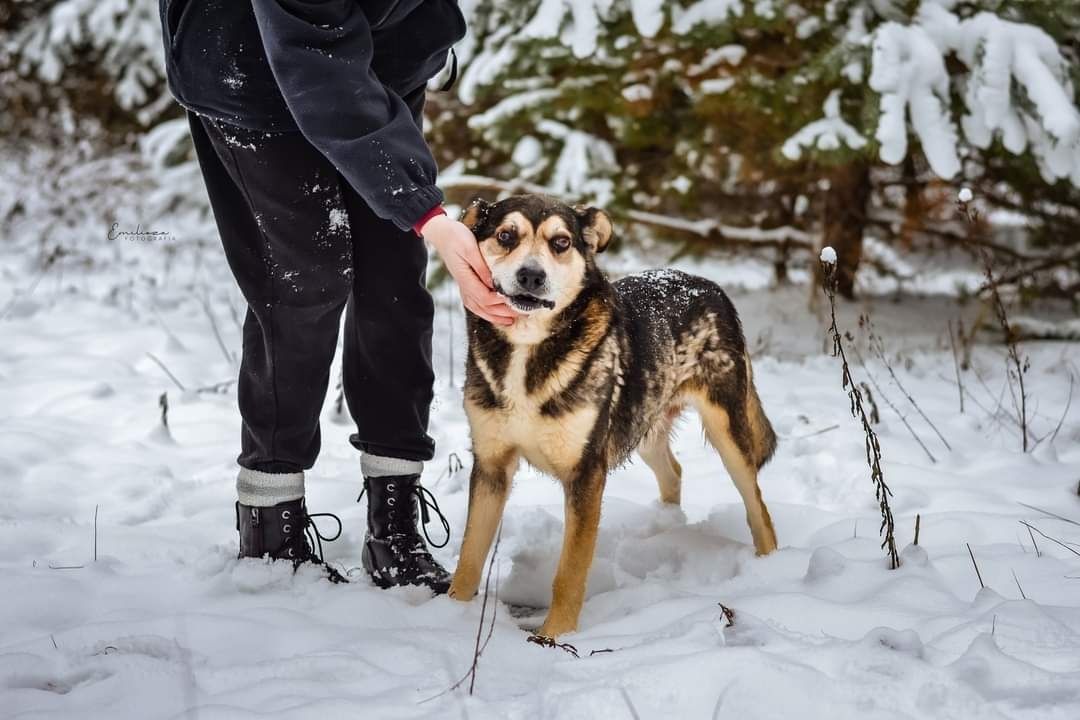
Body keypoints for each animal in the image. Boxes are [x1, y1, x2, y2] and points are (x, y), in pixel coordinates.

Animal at [447, 195, 777, 634]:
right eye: (505, 235)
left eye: (561, 242)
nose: (531, 275)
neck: (529, 348)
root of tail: (709, 285)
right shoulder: (491, 465)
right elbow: (469, 557)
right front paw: (448, 616)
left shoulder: (586, 472)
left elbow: (569, 573)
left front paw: (554, 637)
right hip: (643, 420)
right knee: (674, 471)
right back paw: (665, 527)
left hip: (726, 429)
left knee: (757, 505)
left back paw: (770, 568)